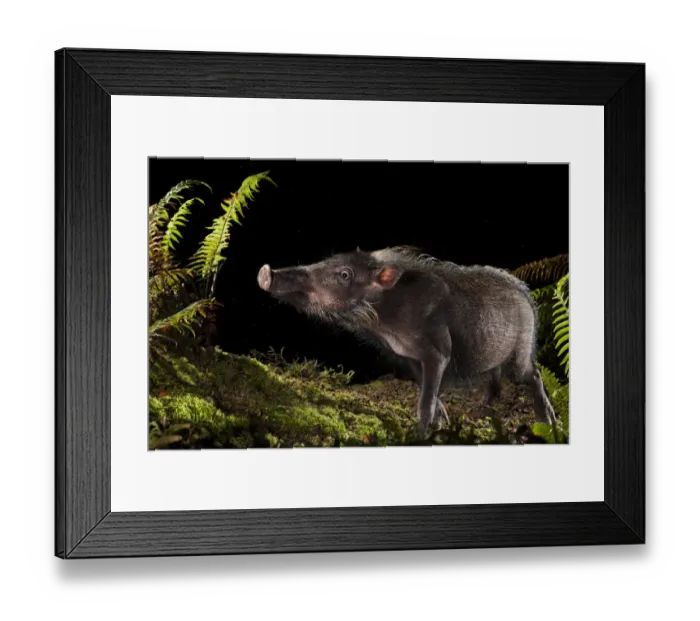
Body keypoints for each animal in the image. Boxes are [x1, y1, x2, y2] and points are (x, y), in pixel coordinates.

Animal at [257, 246, 557, 439]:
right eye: (326, 260)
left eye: (345, 274)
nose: (265, 271)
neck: (386, 324)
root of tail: (526, 295)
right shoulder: (406, 357)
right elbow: (426, 389)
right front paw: (442, 422)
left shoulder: (438, 352)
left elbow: (427, 396)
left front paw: (420, 433)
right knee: (494, 383)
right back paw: (479, 413)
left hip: (520, 351)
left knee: (533, 374)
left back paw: (549, 422)